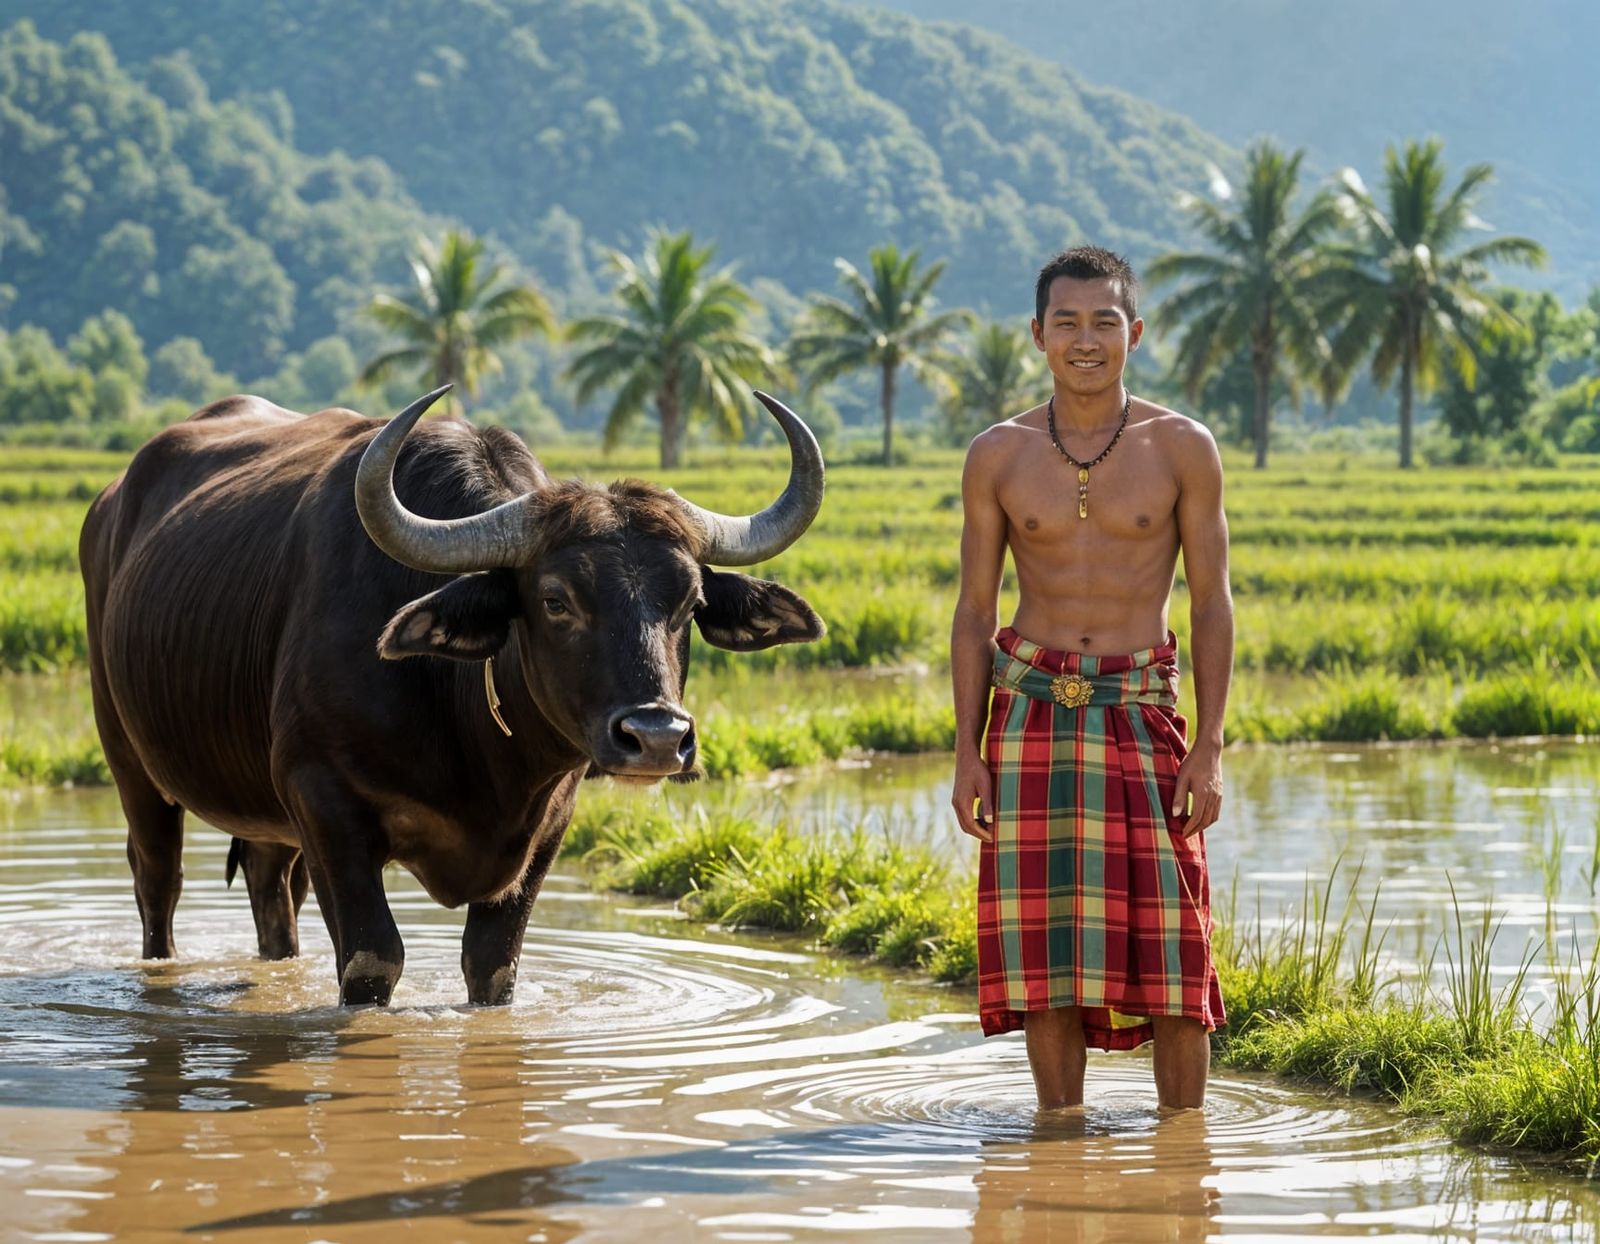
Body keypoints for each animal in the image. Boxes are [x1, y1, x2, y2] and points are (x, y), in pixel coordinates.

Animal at [80, 386, 824, 1005]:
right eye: (555, 600)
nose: (657, 738)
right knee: (158, 880)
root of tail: (112, 501)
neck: (470, 741)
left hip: (270, 814)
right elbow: (373, 960)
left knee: (271, 890)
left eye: (689, 604)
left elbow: (493, 965)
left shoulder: (547, 825)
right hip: (130, 758)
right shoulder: (323, 799)